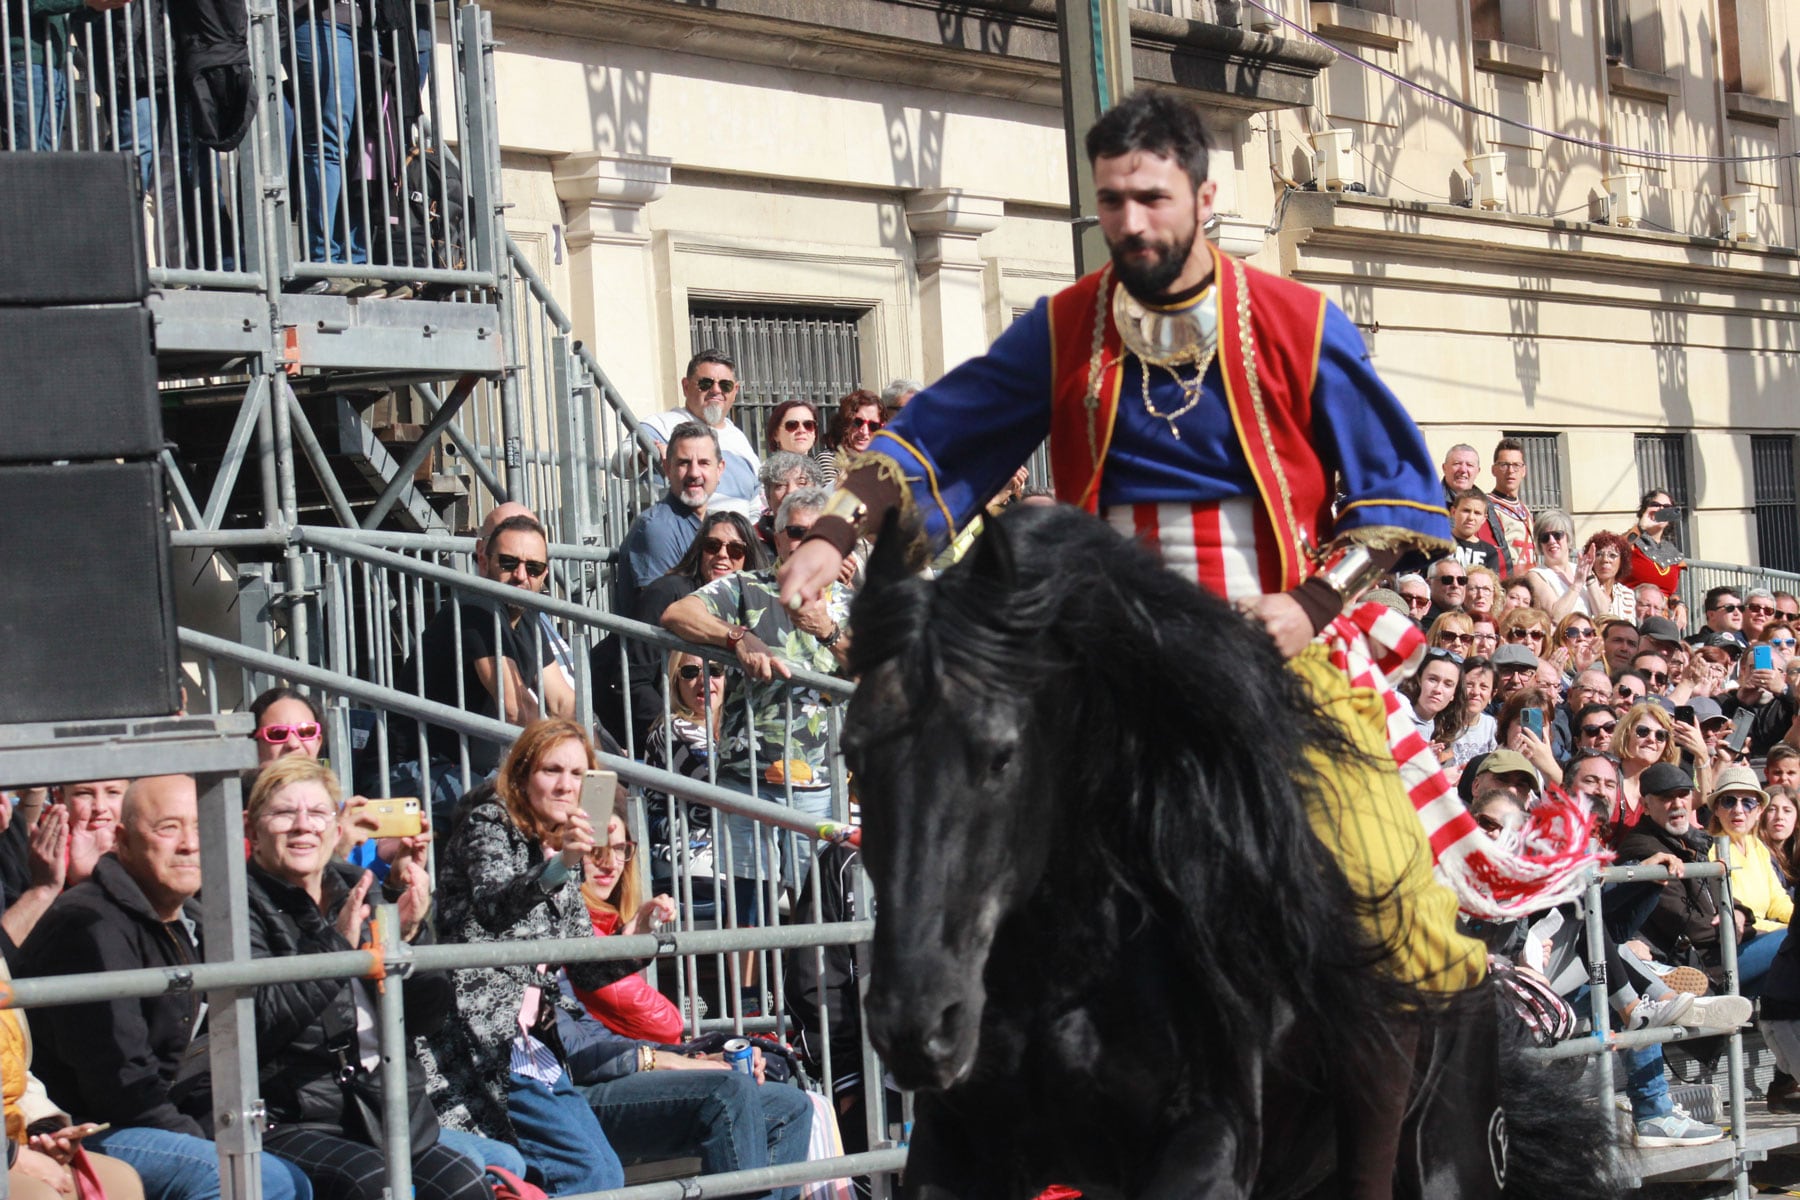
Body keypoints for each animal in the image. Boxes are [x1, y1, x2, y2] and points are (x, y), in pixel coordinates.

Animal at [842, 507, 1620, 1200]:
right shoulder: (955, 1147)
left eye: (1000, 755)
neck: (1071, 963)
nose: (915, 1023)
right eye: (853, 753)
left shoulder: (1211, 1137)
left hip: (1453, 1156)